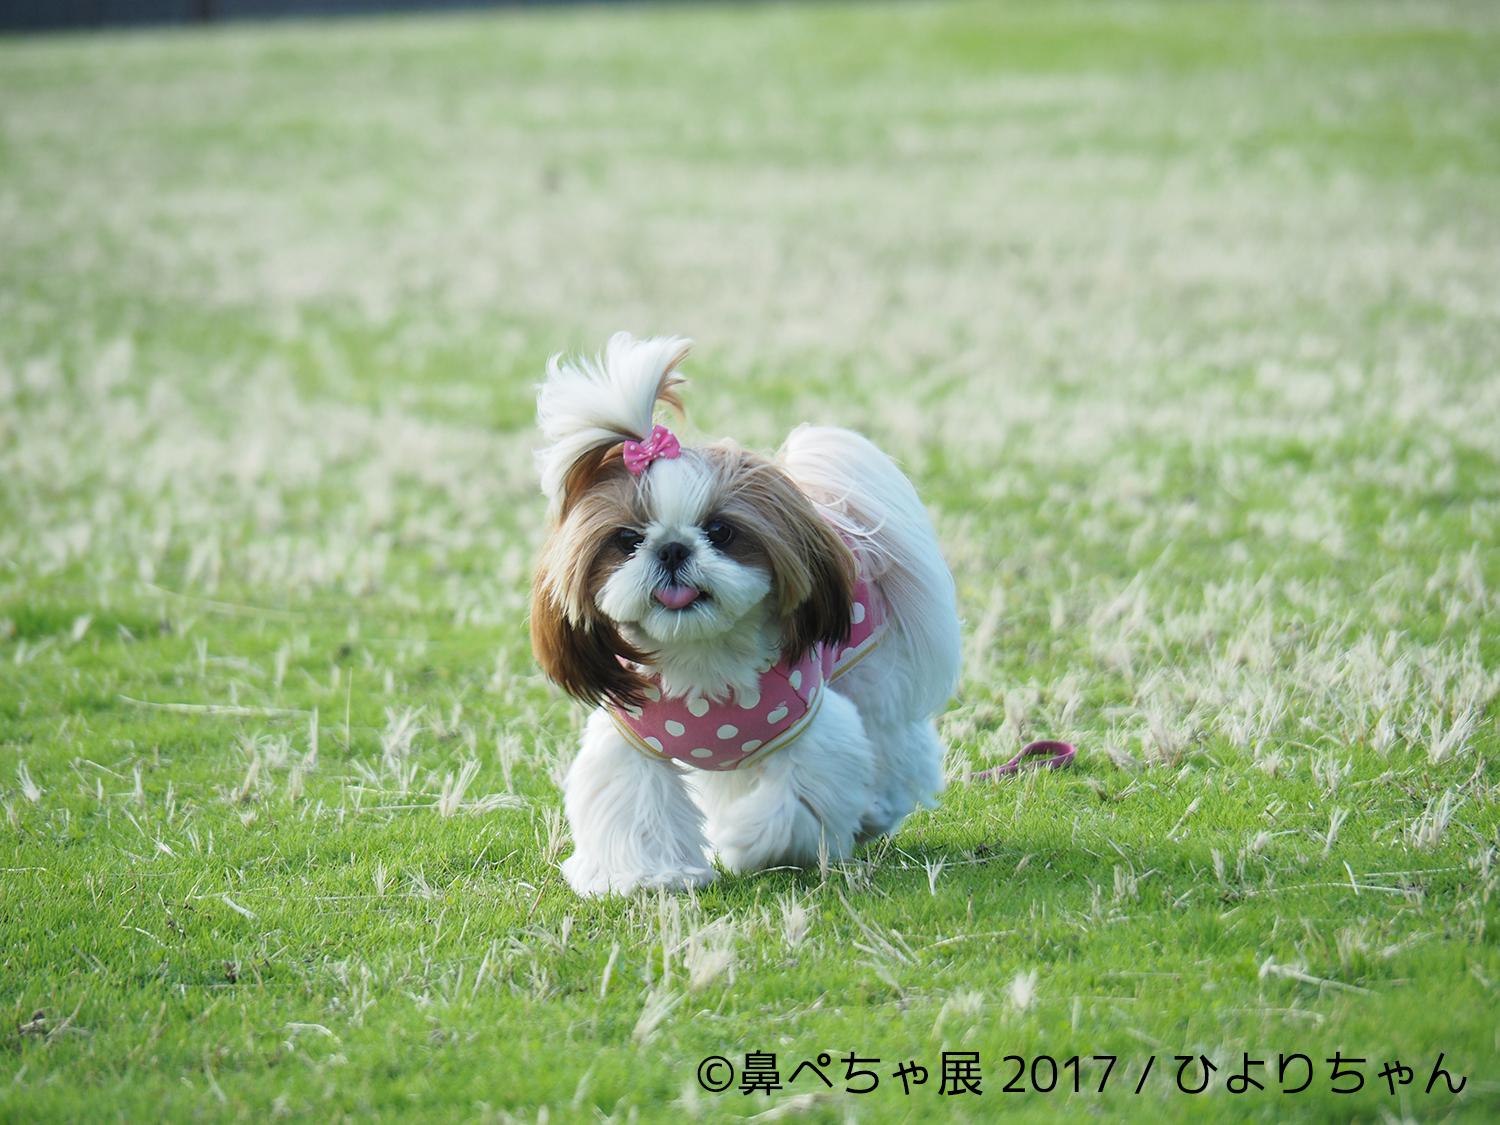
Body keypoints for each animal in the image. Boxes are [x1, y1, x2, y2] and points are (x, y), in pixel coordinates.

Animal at [534, 334, 960, 900]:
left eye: (720, 531)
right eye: (627, 540)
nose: (671, 549)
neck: (703, 655)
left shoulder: (811, 731)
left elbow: (793, 803)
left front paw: (743, 843)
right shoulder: (631, 744)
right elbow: (637, 803)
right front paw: (650, 876)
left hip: (870, 674)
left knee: (895, 742)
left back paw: (876, 808)